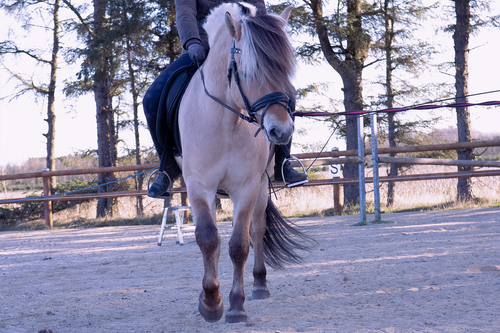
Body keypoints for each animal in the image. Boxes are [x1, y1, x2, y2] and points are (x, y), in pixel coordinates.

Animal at [173, 2, 312, 322]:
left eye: (285, 69)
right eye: (248, 72)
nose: (281, 131)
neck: (227, 122)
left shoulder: (247, 187)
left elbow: (240, 244)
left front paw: (235, 306)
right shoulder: (198, 186)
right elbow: (207, 238)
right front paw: (211, 302)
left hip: (260, 187)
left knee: (257, 229)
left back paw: (259, 285)